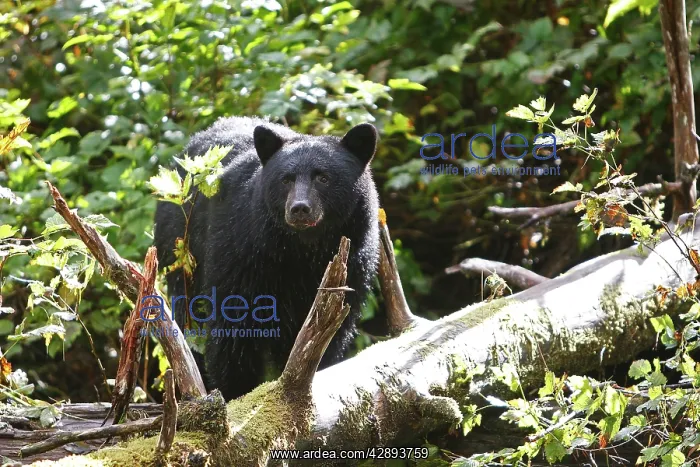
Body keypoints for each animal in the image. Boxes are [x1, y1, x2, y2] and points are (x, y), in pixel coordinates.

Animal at [153, 116, 380, 400]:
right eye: (286, 179)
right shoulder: (242, 250)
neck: (302, 250)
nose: (300, 208)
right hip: (179, 249)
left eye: (323, 177)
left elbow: (331, 331)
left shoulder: (354, 261)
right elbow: (234, 326)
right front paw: (236, 392)